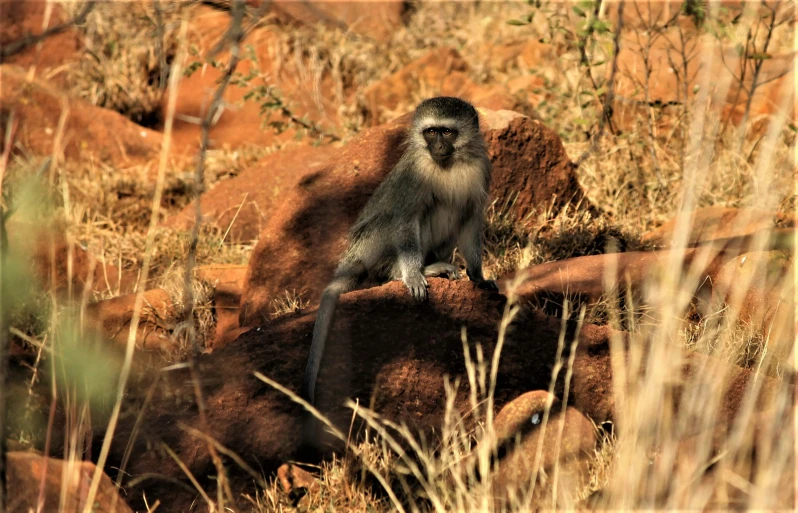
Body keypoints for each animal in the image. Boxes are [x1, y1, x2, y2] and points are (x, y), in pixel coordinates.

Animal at [302, 99, 496, 440]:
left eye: (447, 131)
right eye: (430, 132)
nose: (438, 146)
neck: (450, 164)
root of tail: (353, 254)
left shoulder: (481, 170)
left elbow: (471, 217)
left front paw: (478, 276)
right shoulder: (415, 177)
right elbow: (406, 217)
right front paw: (413, 275)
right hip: (372, 244)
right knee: (411, 214)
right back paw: (411, 271)